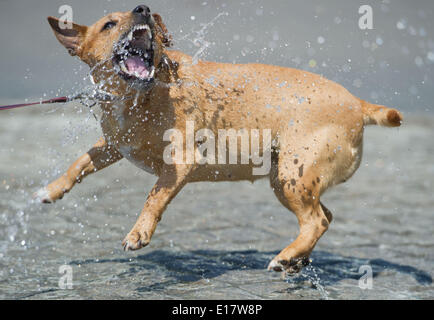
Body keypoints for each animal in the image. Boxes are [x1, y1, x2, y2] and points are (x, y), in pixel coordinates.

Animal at [38, 5, 404, 272]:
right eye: (109, 24)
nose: (143, 8)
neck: (140, 94)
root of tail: (357, 103)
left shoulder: (179, 162)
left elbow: (153, 197)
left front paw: (138, 232)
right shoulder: (116, 145)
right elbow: (80, 162)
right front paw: (52, 190)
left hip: (293, 175)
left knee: (315, 221)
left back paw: (284, 257)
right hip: (287, 179)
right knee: (324, 217)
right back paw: (297, 259)